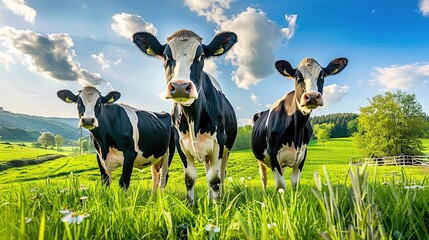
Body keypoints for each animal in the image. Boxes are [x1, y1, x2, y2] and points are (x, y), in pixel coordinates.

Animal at [132, 29, 236, 203]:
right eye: (166, 56)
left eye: (201, 56)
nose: (180, 86)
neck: (193, 116)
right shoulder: (180, 143)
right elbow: (190, 178)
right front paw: (191, 204)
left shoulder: (218, 143)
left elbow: (215, 179)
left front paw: (217, 206)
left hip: (226, 150)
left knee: (220, 174)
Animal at [251, 56, 348, 191]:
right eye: (297, 77)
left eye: (322, 76)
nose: (312, 96)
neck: (296, 131)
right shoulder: (273, 153)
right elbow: (281, 185)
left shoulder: (302, 154)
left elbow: (294, 183)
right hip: (261, 159)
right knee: (263, 178)